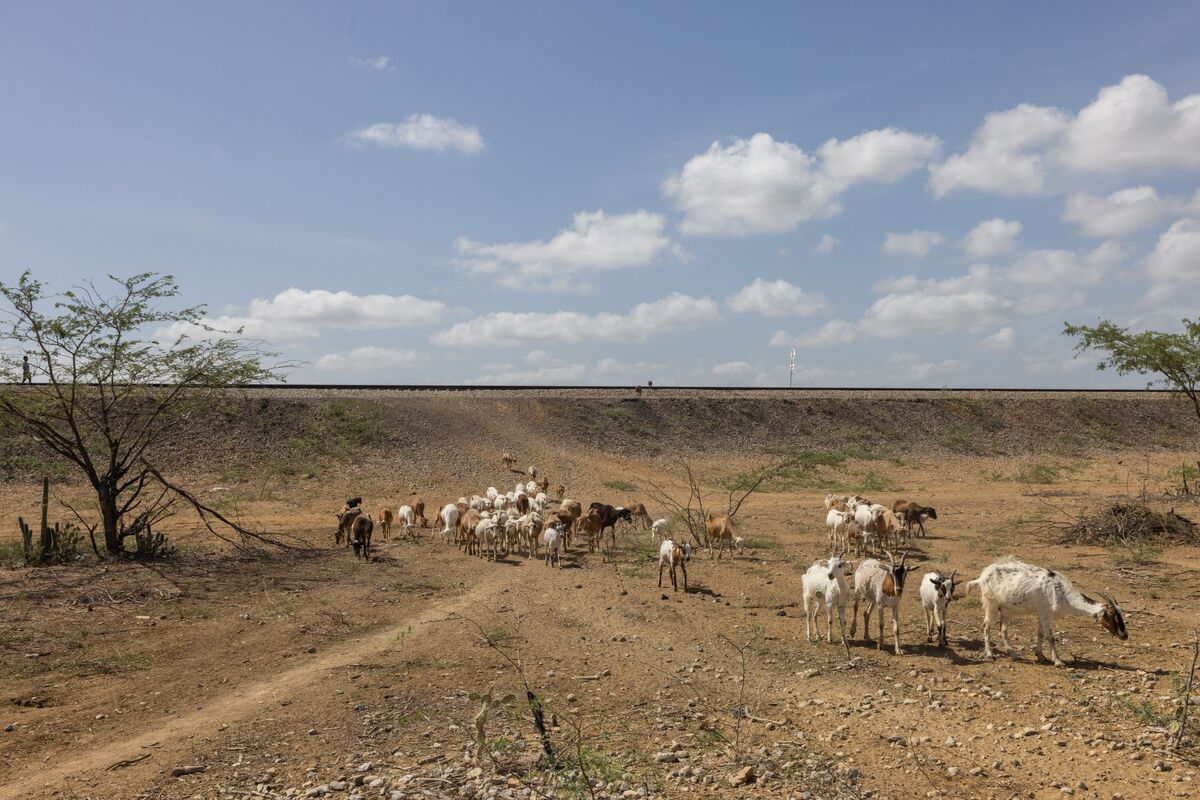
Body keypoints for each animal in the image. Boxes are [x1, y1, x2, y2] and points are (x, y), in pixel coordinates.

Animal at [964, 558, 1127, 666]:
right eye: (1111, 616)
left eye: (1121, 615)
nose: (1124, 636)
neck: (1062, 592)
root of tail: (982, 577)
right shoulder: (1045, 614)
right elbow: (1051, 637)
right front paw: (1058, 661)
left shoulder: (1041, 614)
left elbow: (1040, 633)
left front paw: (1040, 656)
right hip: (991, 604)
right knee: (986, 627)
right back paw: (990, 654)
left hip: (1006, 610)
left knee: (1003, 631)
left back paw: (1014, 654)